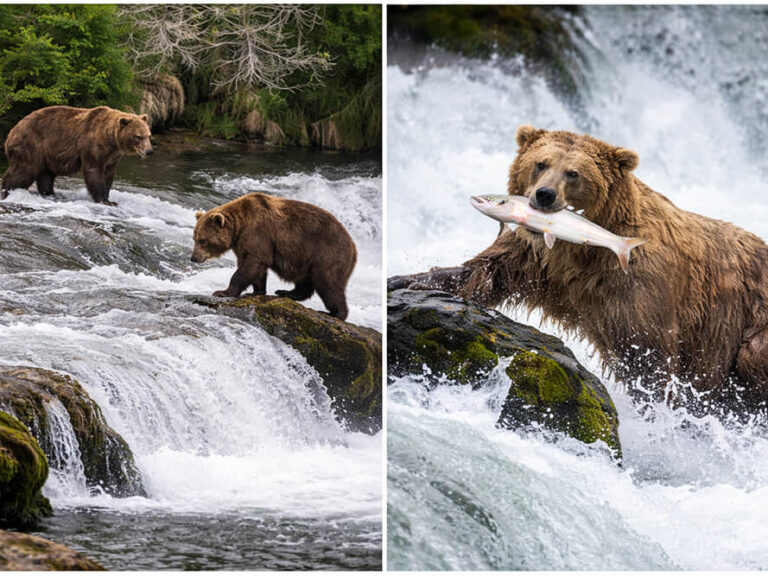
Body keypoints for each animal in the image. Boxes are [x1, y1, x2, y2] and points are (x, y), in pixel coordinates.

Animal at [1, 105, 153, 206]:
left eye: (148, 135)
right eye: (138, 136)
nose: (149, 151)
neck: (111, 141)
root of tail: (11, 133)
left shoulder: (112, 157)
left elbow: (109, 175)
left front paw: (109, 198)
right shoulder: (92, 146)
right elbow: (93, 171)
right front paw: (105, 200)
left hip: (48, 154)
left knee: (46, 175)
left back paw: (51, 194)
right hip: (33, 145)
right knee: (25, 170)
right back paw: (8, 191)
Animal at [191, 192, 357, 321]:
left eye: (202, 240)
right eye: (194, 238)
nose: (193, 257)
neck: (238, 227)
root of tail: (353, 245)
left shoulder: (258, 234)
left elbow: (249, 266)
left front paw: (222, 292)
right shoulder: (245, 244)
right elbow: (256, 269)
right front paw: (256, 291)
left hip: (326, 253)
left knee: (327, 283)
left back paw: (336, 313)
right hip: (306, 258)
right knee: (305, 281)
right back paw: (285, 292)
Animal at [393, 125, 768, 413]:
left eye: (573, 173)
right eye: (540, 163)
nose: (543, 195)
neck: (583, 248)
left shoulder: (638, 285)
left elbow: (649, 356)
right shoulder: (537, 258)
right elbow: (484, 272)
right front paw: (406, 280)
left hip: (753, 326)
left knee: (750, 360)